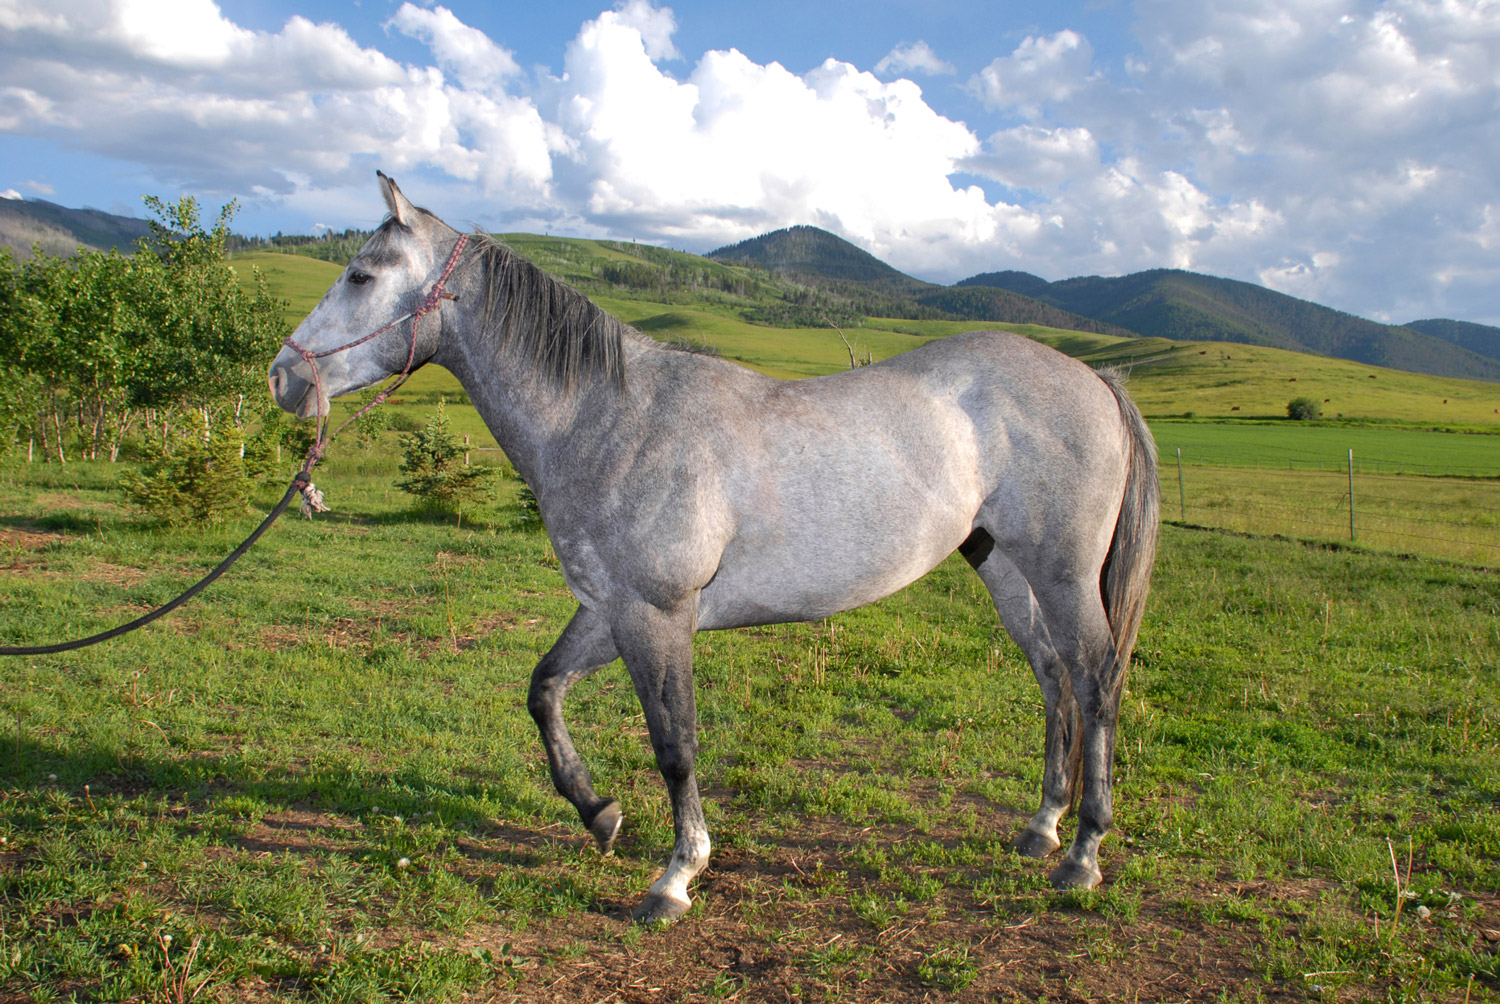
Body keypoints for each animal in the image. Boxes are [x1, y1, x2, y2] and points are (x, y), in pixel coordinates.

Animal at [267, 173, 1159, 924]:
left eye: (360, 276)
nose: (283, 376)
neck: (611, 419)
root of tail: (1095, 377)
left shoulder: (658, 616)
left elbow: (675, 744)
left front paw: (676, 875)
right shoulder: (612, 608)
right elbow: (544, 690)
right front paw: (599, 813)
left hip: (1064, 575)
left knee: (1095, 682)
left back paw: (1082, 855)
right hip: (1007, 569)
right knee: (1054, 679)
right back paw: (1041, 827)